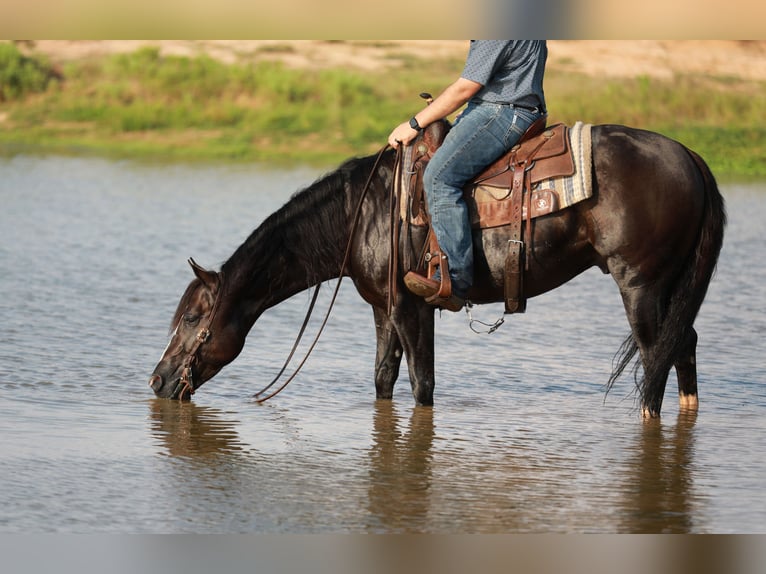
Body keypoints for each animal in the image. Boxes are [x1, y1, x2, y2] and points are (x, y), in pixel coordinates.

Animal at [148, 125, 728, 418]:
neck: (364, 213)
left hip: (640, 284)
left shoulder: (412, 306)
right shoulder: (386, 308)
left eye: (194, 319)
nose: (157, 380)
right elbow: (384, 379)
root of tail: (692, 157)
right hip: (672, 286)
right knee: (684, 343)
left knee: (655, 355)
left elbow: (421, 384)